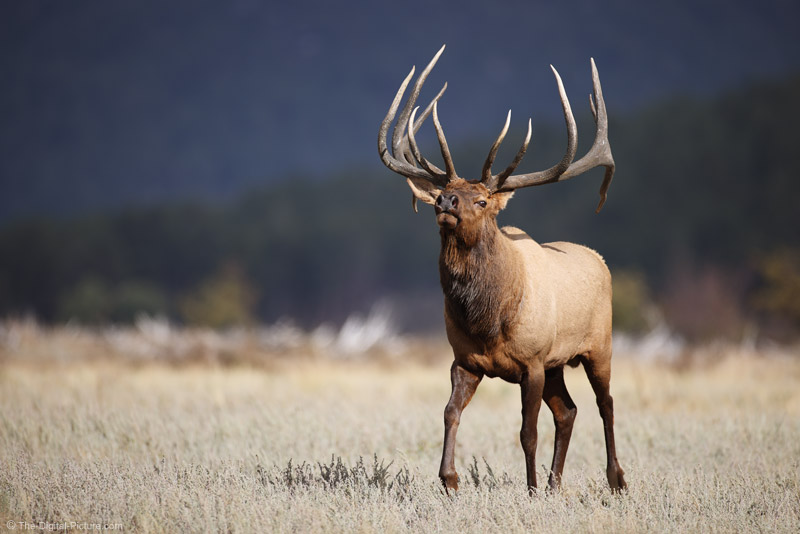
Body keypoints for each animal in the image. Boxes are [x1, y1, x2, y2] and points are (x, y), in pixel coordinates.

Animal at [377, 45, 626, 493]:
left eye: (481, 200)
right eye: (444, 191)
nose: (445, 203)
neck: (487, 320)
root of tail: (598, 259)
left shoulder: (532, 361)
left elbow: (527, 431)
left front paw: (529, 489)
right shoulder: (464, 360)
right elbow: (449, 412)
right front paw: (450, 479)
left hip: (598, 345)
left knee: (606, 403)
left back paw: (615, 479)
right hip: (558, 364)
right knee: (568, 411)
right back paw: (555, 483)